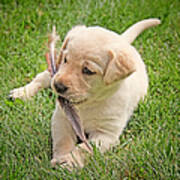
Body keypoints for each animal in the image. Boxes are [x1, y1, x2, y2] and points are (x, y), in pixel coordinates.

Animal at [10, 18, 160, 169]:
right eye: (66, 59)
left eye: (88, 70)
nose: (58, 86)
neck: (89, 103)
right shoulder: (61, 118)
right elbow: (63, 140)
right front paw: (61, 157)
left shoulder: (106, 135)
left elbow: (84, 149)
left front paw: (69, 161)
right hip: (53, 71)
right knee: (41, 78)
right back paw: (21, 93)